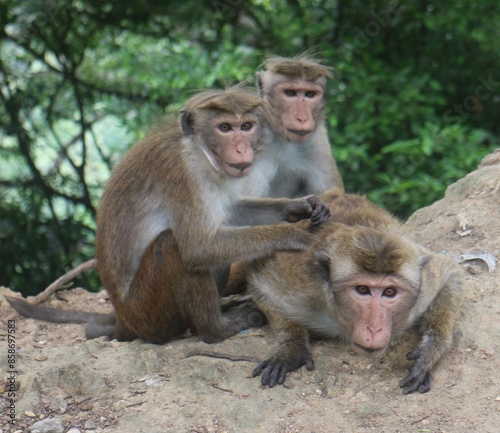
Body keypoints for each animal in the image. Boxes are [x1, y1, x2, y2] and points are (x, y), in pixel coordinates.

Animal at [5, 87, 332, 344]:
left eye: (247, 125)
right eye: (225, 128)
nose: (241, 149)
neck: (199, 151)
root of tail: (123, 318)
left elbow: (230, 213)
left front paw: (300, 207)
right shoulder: (181, 174)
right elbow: (198, 246)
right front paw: (294, 235)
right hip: (146, 312)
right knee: (173, 246)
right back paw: (217, 329)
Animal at [246, 188, 464, 392]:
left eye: (390, 292)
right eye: (362, 289)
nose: (374, 328)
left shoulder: (424, 284)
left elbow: (450, 273)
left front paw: (430, 351)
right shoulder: (301, 286)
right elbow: (261, 285)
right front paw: (292, 347)